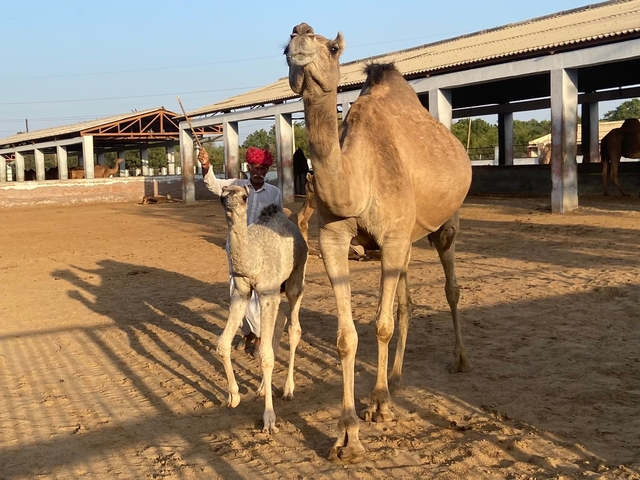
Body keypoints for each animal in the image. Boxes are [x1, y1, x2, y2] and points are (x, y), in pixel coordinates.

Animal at [218, 185, 308, 433]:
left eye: (244, 196)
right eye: (223, 192)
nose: (228, 201)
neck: (252, 260)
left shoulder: (268, 292)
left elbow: (266, 355)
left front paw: (269, 419)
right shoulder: (241, 292)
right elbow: (223, 343)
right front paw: (234, 396)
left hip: (295, 279)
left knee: (294, 327)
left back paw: (288, 389)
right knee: (281, 321)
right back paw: (260, 388)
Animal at [285, 23, 472, 461]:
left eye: (332, 48)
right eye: (284, 47)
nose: (300, 32)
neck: (359, 180)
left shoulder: (392, 237)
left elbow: (381, 325)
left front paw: (380, 406)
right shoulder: (334, 239)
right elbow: (346, 337)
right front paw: (347, 435)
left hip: (445, 223)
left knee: (450, 286)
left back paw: (458, 360)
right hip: (407, 238)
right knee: (406, 299)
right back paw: (398, 376)